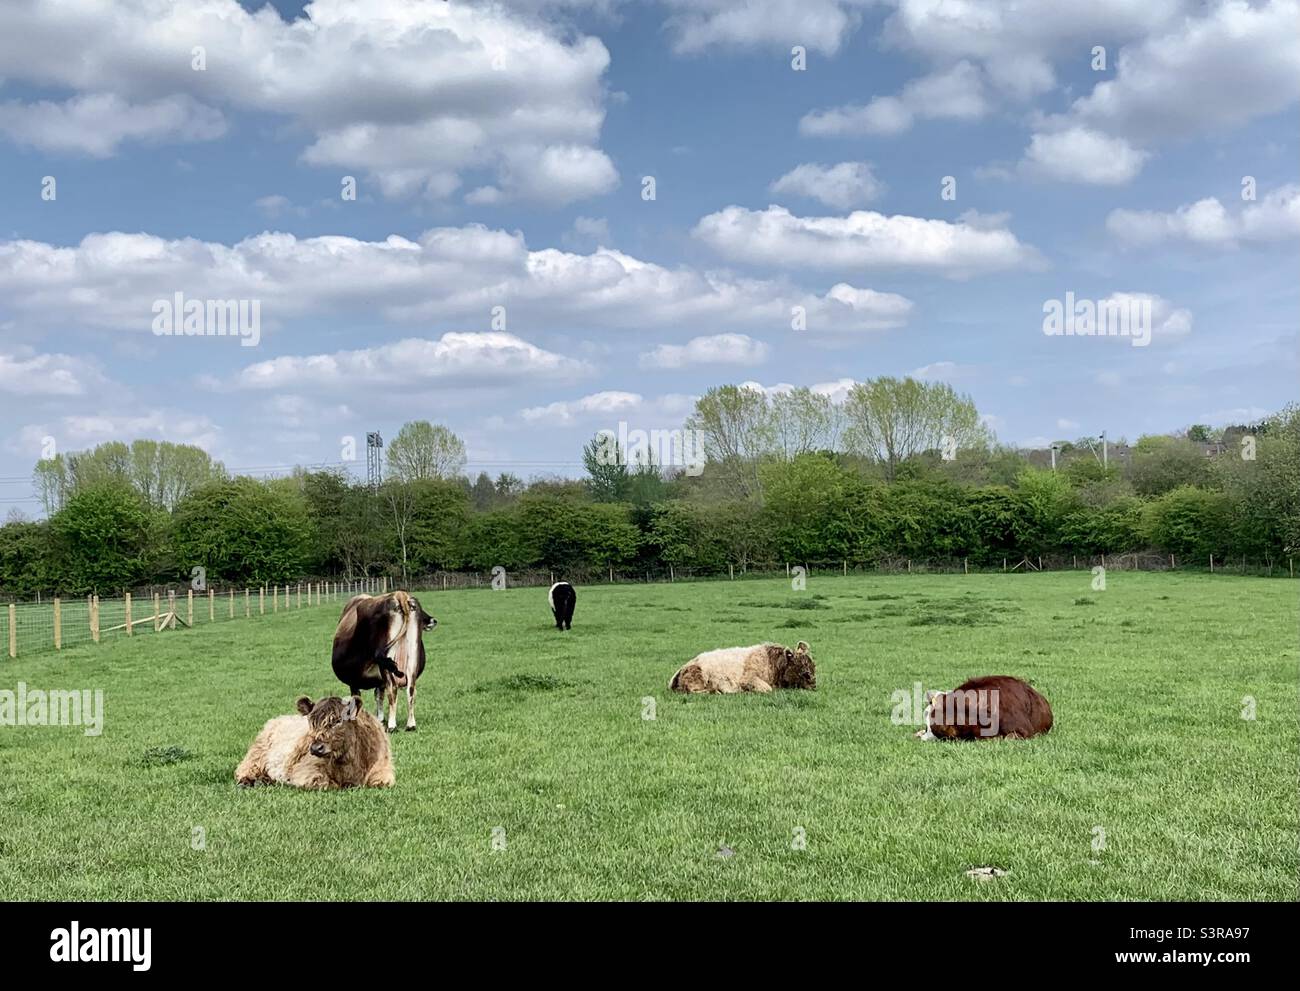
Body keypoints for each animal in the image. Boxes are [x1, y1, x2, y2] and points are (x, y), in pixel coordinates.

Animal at [235, 694, 395, 789]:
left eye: (338, 721)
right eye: (311, 721)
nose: (316, 748)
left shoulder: (384, 773)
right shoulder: (307, 771)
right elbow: (327, 784)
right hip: (256, 755)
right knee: (243, 770)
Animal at [331, 590, 436, 733]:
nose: (432, 620)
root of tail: (400, 595)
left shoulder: (354, 680)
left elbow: (358, 699)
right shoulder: (378, 681)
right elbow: (379, 695)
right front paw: (380, 718)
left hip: (387, 666)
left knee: (392, 691)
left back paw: (392, 726)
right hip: (411, 664)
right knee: (411, 690)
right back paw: (410, 725)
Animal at [669, 641, 816, 694]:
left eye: (813, 666)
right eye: (803, 669)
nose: (814, 685)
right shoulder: (749, 679)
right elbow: (766, 689)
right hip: (697, 679)